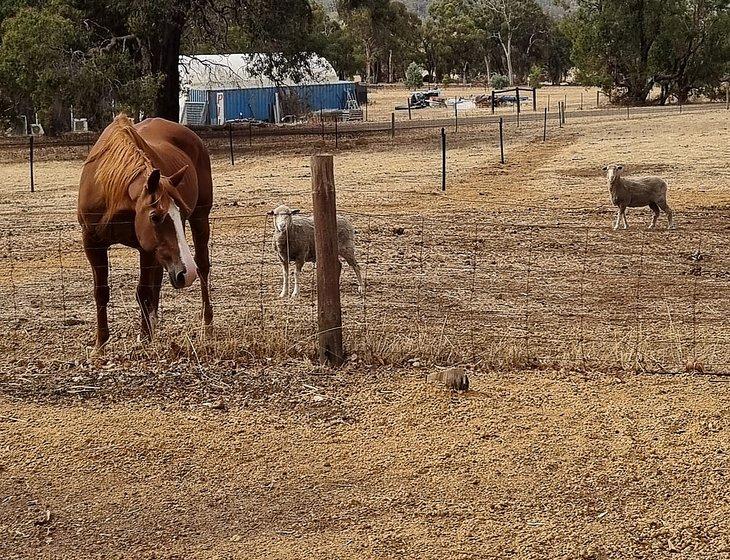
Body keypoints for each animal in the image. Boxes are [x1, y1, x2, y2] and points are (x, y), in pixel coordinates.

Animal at [78, 115, 212, 346]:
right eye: (155, 217)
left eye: (182, 213)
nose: (187, 273)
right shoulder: (92, 243)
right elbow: (101, 292)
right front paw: (100, 344)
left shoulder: (146, 248)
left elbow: (143, 291)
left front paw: (144, 338)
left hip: (200, 220)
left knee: (202, 266)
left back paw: (207, 324)